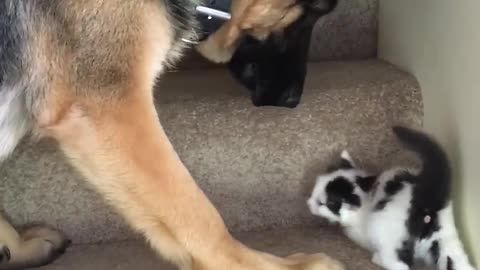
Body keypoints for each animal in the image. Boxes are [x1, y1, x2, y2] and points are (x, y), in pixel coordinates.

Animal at [308, 127, 476, 270]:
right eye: (314, 191)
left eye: (327, 203)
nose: (309, 204)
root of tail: (428, 195)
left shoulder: (364, 233)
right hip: (446, 237)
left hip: (387, 232)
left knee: (400, 265)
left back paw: (378, 259)